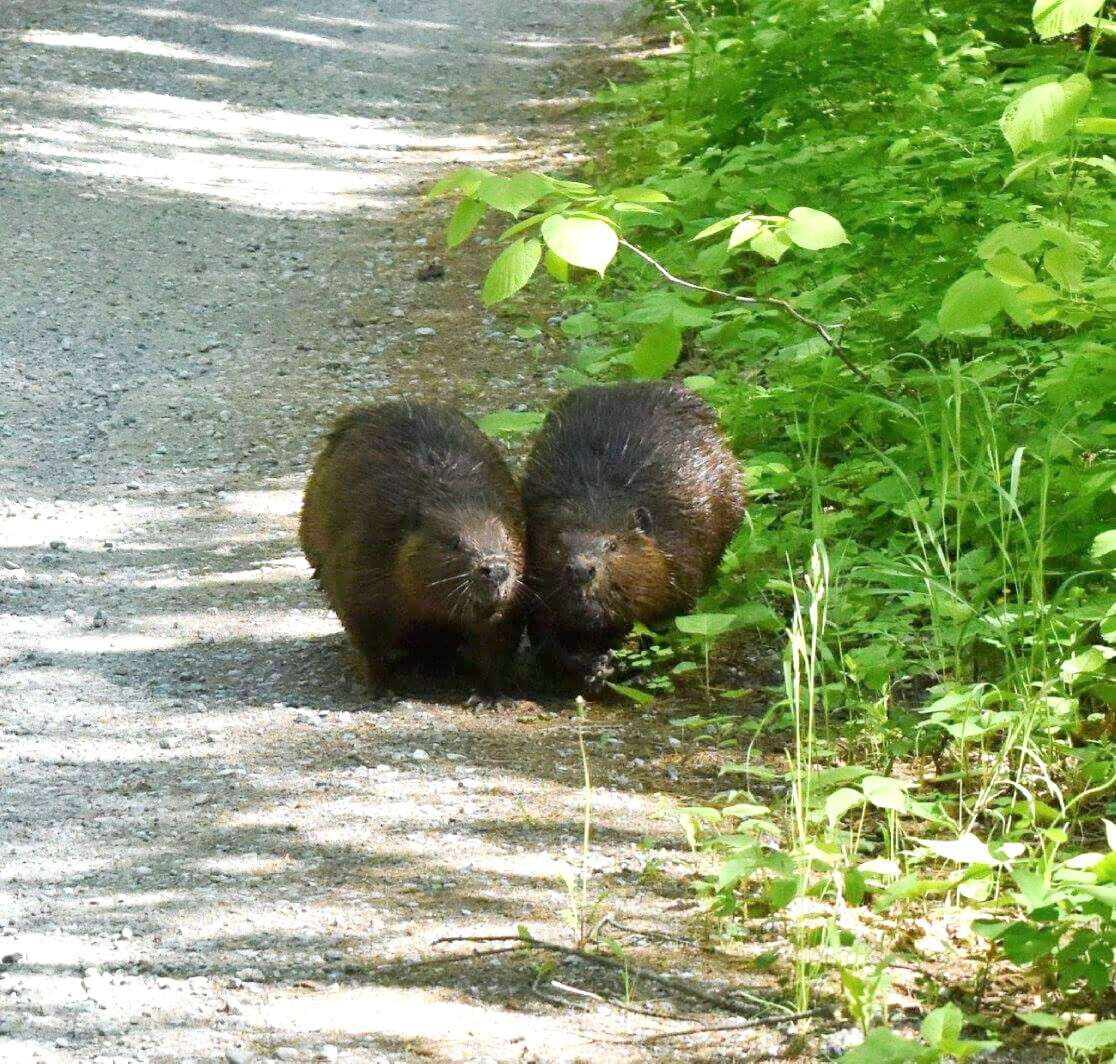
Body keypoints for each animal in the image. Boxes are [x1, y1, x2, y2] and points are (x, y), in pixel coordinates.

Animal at [296, 401, 522, 692]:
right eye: (454, 542)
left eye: (506, 537)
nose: (495, 568)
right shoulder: (362, 558)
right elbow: (365, 635)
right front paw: (382, 686)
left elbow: (497, 639)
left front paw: (484, 695)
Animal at [520, 377, 741, 683]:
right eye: (558, 545)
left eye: (613, 545)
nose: (581, 570)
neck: (595, 500)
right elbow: (546, 631)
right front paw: (592, 665)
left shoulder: (680, 553)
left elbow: (667, 624)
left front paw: (623, 666)